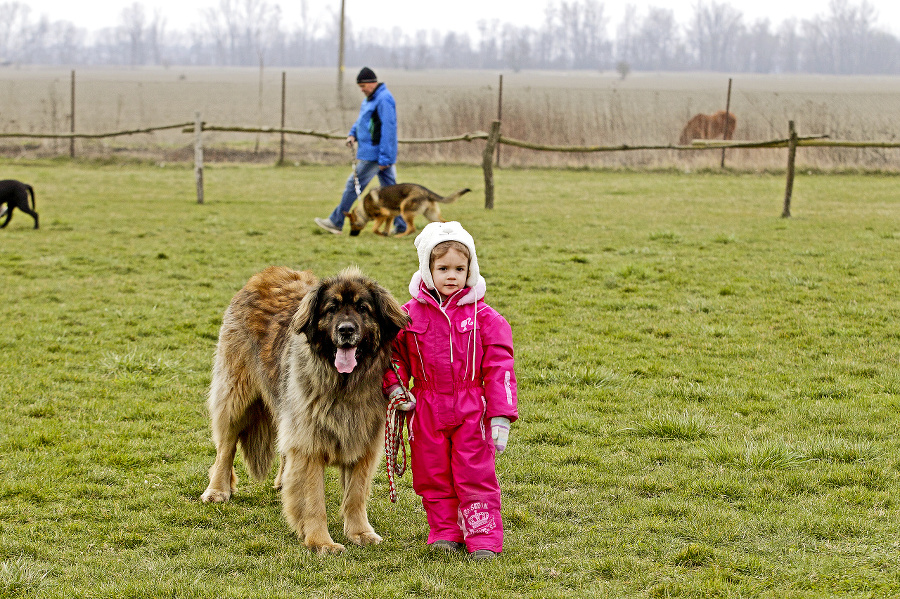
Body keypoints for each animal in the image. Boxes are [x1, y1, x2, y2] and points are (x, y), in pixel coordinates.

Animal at [202, 264, 410, 556]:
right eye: (331, 309)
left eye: (363, 309)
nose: (346, 330)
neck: (343, 385)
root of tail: (265, 273)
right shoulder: (309, 442)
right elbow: (313, 499)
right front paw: (321, 541)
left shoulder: (363, 439)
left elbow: (355, 494)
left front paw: (360, 532)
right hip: (236, 396)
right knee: (226, 447)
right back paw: (217, 490)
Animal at [342, 184, 472, 238]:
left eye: (351, 224)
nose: (351, 235)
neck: (363, 209)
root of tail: (426, 191)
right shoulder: (390, 216)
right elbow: (386, 227)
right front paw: (385, 234)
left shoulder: (383, 215)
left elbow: (374, 229)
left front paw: (382, 234)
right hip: (431, 216)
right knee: (446, 223)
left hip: (405, 209)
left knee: (411, 228)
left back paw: (399, 236)